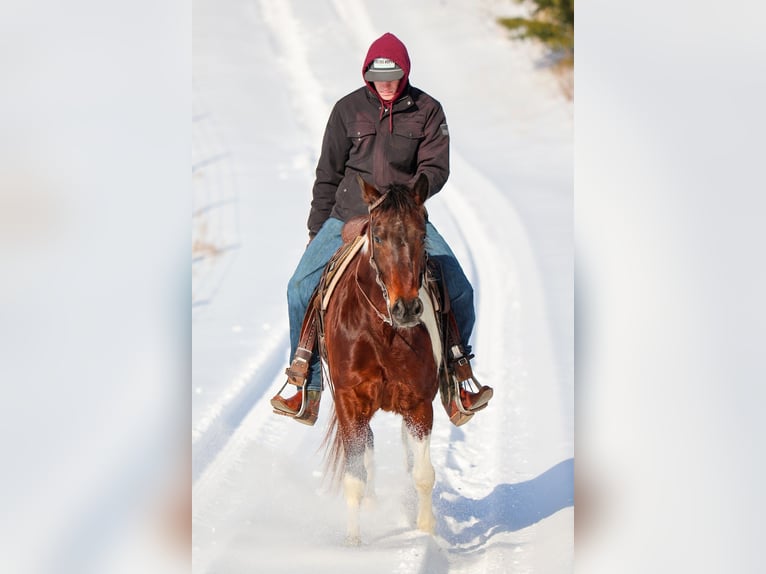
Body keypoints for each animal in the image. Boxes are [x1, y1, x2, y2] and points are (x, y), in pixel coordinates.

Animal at [321, 173, 442, 545]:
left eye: (422, 233)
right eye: (378, 235)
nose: (407, 308)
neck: (382, 331)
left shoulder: (419, 404)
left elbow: (423, 473)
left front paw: (426, 532)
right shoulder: (349, 402)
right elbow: (354, 476)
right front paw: (354, 542)